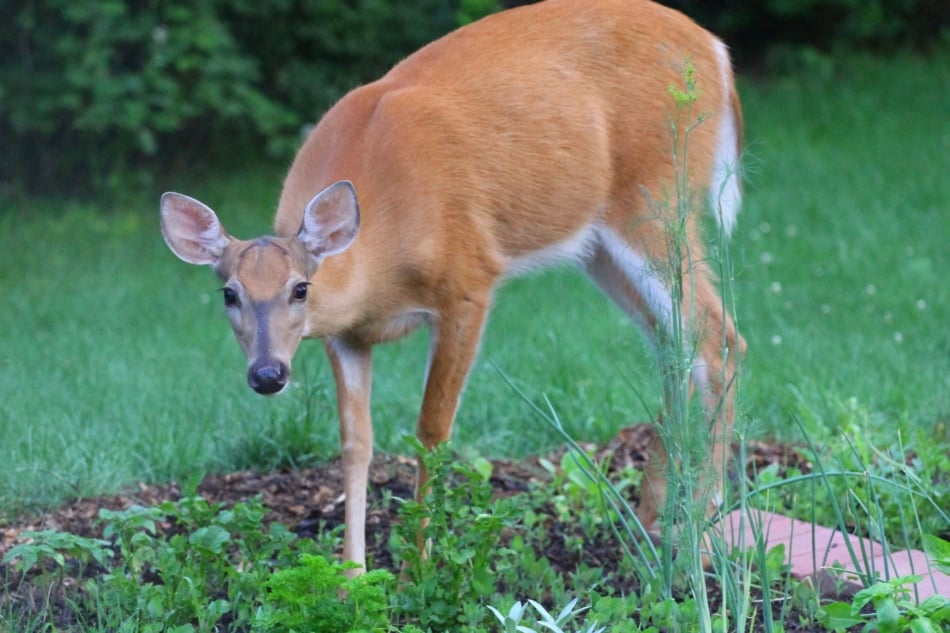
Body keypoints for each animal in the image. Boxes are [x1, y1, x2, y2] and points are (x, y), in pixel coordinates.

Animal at [160, 0, 748, 572]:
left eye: (300, 288)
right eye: (229, 294)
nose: (268, 374)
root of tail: (716, 51)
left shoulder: (468, 283)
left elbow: (431, 430)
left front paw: (419, 569)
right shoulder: (344, 336)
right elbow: (355, 442)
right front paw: (351, 577)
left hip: (656, 196)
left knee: (718, 336)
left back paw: (701, 534)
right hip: (599, 246)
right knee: (674, 346)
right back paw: (651, 525)